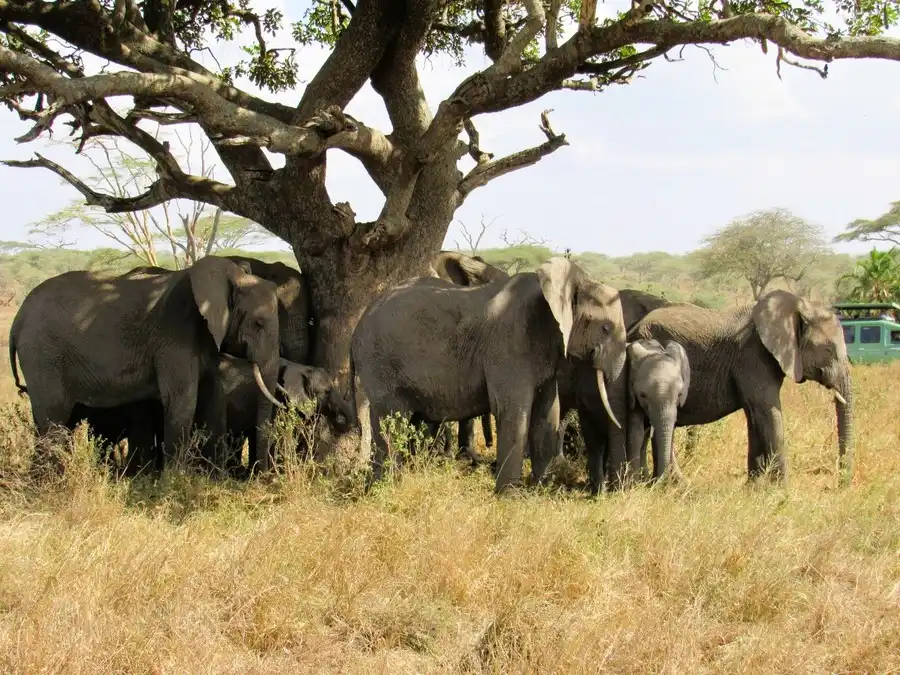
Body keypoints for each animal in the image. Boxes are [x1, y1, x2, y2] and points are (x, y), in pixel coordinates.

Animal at [9, 255, 285, 474]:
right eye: (259, 323)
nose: (263, 478)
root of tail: (18, 318)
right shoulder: (174, 336)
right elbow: (182, 401)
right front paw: (175, 482)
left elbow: (213, 398)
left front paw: (214, 480)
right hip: (43, 355)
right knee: (53, 417)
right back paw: (52, 484)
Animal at [351, 257, 628, 493]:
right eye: (605, 328)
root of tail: (357, 326)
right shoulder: (510, 344)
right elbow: (512, 409)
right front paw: (509, 497)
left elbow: (547, 412)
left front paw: (543, 491)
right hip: (380, 363)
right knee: (391, 419)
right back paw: (385, 488)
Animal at [626, 338, 690, 482]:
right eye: (642, 395)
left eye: (680, 394)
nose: (659, 480)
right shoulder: (631, 395)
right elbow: (636, 432)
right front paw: (633, 484)